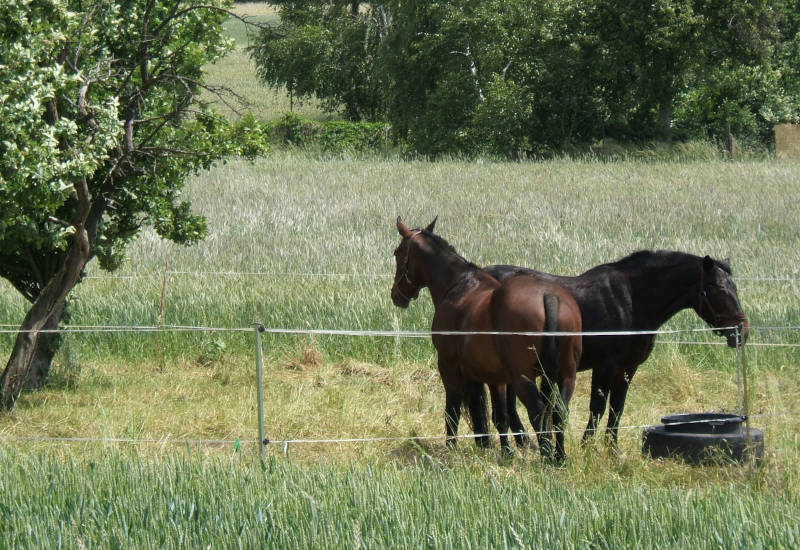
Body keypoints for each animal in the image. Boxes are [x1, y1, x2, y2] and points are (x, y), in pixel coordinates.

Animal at [390, 217, 582, 461]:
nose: (396, 295)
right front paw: (505, 453)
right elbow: (499, 416)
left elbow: (452, 412)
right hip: (566, 375)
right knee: (559, 413)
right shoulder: (494, 377)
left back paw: (547, 458)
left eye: (397, 253)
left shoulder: (449, 368)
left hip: (524, 379)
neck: (459, 285)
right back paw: (559, 458)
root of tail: (548, 296)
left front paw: (451, 449)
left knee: (538, 413)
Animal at [484, 250, 749, 447]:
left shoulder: (627, 368)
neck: (632, 301)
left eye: (735, 288)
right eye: (720, 289)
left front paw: (612, 449)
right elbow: (598, 408)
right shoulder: (605, 366)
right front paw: (587, 446)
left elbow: (617, 409)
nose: (741, 332)